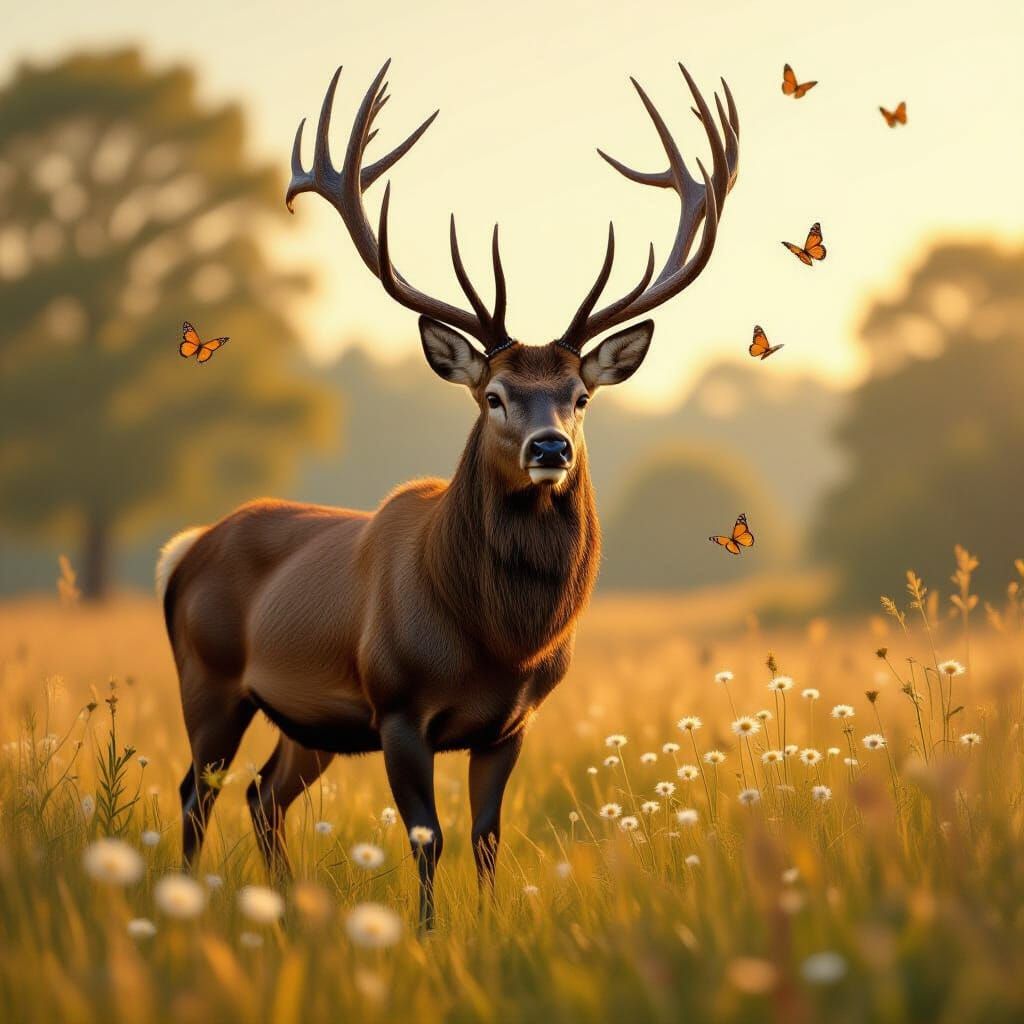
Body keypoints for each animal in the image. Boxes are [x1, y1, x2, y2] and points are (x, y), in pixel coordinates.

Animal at [157, 59, 739, 929]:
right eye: (493, 395)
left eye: (580, 396)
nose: (550, 449)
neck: (496, 639)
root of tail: (187, 550)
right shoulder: (398, 706)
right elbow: (426, 839)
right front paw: (429, 937)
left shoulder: (510, 723)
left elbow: (486, 838)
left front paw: (491, 930)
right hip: (210, 678)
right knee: (198, 792)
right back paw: (187, 903)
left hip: (310, 719)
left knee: (262, 794)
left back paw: (285, 905)